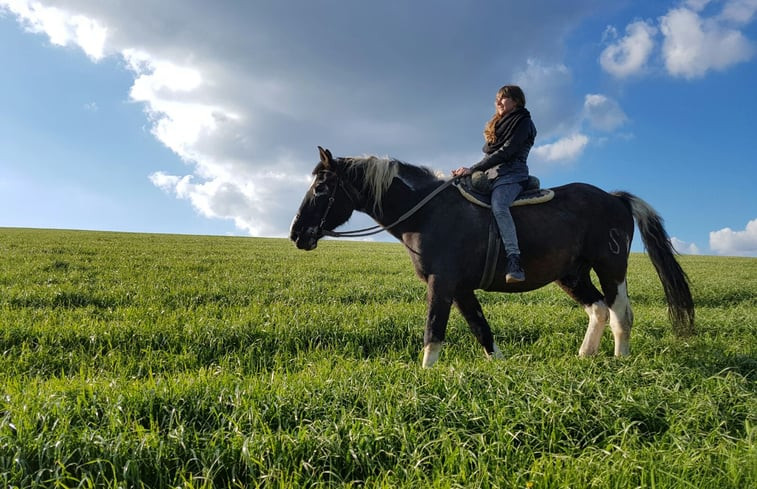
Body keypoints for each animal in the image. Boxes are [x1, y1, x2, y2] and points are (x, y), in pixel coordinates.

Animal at [290, 147, 692, 368]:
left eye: (322, 187)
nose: (296, 234)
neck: (428, 212)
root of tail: (616, 199)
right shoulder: (460, 288)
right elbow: (481, 329)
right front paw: (500, 367)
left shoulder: (441, 283)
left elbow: (433, 330)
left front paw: (425, 374)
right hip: (572, 274)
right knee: (599, 309)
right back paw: (585, 356)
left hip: (610, 267)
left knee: (621, 313)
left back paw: (619, 362)